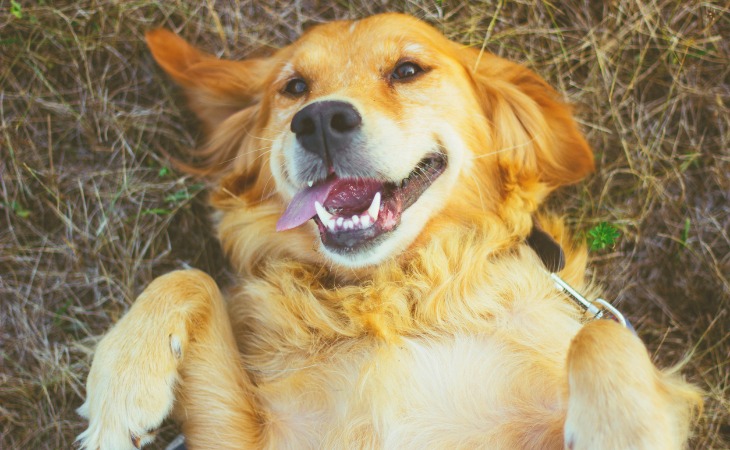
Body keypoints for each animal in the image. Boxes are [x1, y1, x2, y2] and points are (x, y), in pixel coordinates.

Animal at [77, 14, 696, 450]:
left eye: (407, 70)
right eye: (294, 87)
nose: (319, 120)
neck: (398, 296)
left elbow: (603, 335)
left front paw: (622, 428)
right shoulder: (257, 436)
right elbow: (187, 279)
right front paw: (122, 387)